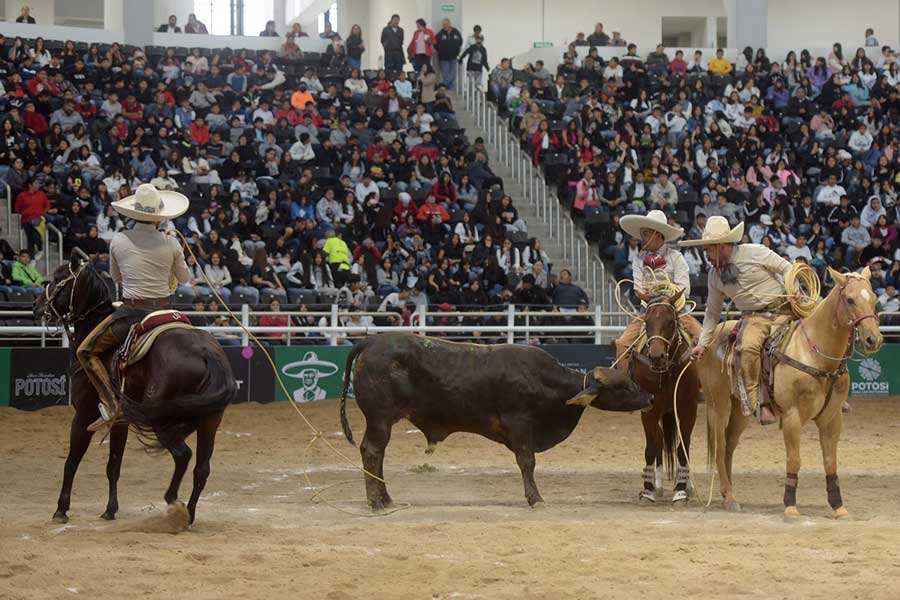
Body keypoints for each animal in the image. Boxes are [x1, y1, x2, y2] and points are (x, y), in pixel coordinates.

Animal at [37, 254, 237, 524]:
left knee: (183, 455)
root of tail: (207, 352)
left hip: (162, 420)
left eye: (58, 278)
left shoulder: (83, 415)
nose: (36, 304)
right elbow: (114, 465)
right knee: (201, 468)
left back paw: (172, 500)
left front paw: (61, 509)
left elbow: (72, 462)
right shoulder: (119, 421)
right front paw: (110, 509)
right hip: (209, 421)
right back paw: (189, 515)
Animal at [340, 332, 652, 510]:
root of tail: (372, 341)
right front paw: (535, 498)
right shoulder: (520, 424)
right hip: (380, 418)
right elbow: (527, 462)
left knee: (377, 454)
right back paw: (376, 502)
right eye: (622, 386)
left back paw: (386, 497)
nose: (649, 396)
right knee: (372, 451)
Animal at [628, 288, 700, 504]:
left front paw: (681, 490)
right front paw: (648, 490)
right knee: (659, 441)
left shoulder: (688, 407)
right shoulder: (649, 410)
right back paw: (658, 484)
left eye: (670, 322)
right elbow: (651, 448)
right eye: (647, 321)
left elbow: (682, 447)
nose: (656, 356)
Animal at [700, 266, 884, 516]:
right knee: (719, 447)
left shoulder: (832, 418)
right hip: (717, 404)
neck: (814, 354)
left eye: (873, 298)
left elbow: (830, 460)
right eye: (850, 299)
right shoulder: (792, 416)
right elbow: (794, 459)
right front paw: (790, 506)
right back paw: (729, 497)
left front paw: (838, 506)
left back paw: (728, 493)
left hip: (740, 408)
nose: (873, 339)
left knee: (729, 444)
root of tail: (711, 338)